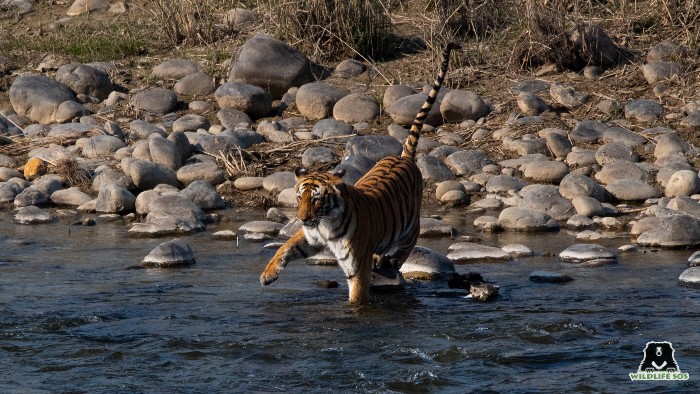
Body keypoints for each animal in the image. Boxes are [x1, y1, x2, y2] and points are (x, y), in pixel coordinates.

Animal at [260, 41, 462, 304]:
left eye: (317, 199)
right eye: (299, 198)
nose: (302, 219)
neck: (325, 223)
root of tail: (403, 156)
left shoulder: (356, 264)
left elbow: (357, 294)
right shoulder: (310, 237)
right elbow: (284, 248)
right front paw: (267, 275)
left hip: (409, 227)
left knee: (407, 246)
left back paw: (391, 264)